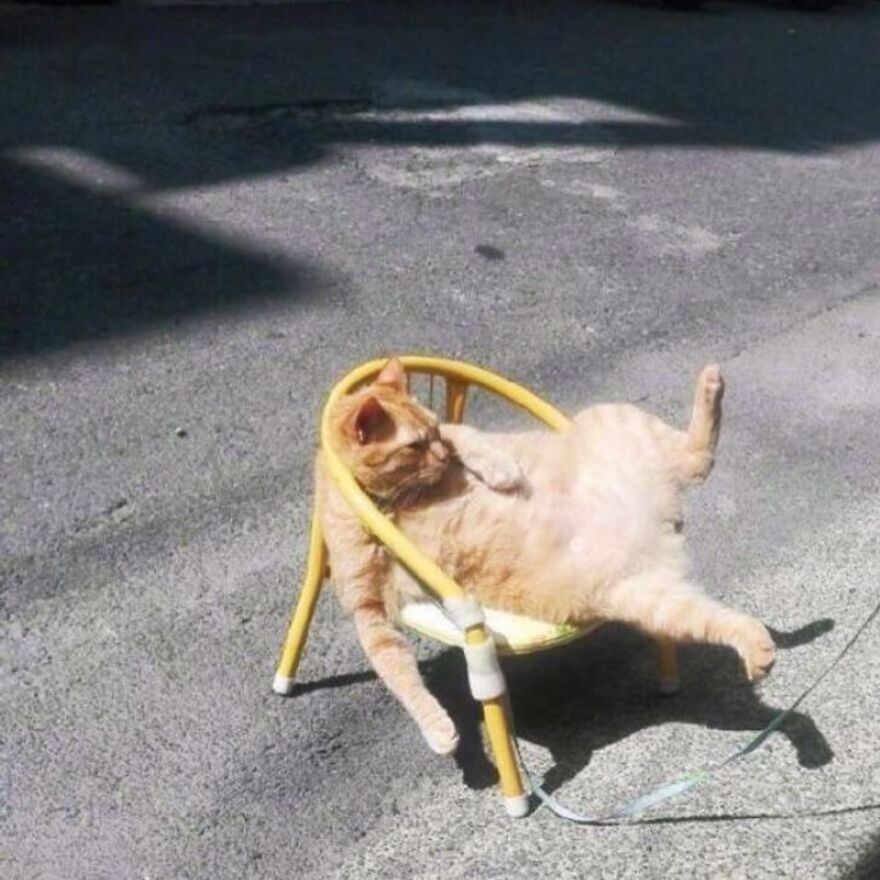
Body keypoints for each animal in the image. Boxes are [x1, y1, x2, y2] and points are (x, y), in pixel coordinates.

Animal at [318, 360, 776, 752]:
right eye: (414, 446)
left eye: (432, 431)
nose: (442, 457)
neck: (390, 504)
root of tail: (658, 517)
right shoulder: (369, 613)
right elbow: (400, 677)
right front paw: (438, 730)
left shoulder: (458, 434)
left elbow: (467, 435)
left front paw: (500, 469)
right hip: (652, 601)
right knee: (722, 614)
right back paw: (760, 655)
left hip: (611, 417)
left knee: (697, 458)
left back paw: (711, 382)